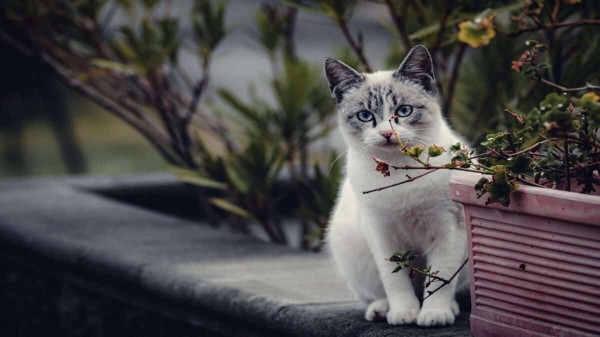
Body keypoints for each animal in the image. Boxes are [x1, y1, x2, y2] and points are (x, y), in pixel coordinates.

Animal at [324, 45, 468, 326]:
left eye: (403, 111)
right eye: (365, 116)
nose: (387, 134)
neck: (399, 171)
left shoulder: (448, 228)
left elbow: (441, 278)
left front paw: (434, 314)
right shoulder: (381, 233)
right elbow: (395, 280)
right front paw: (404, 312)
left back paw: (452, 308)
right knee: (376, 292)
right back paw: (381, 309)